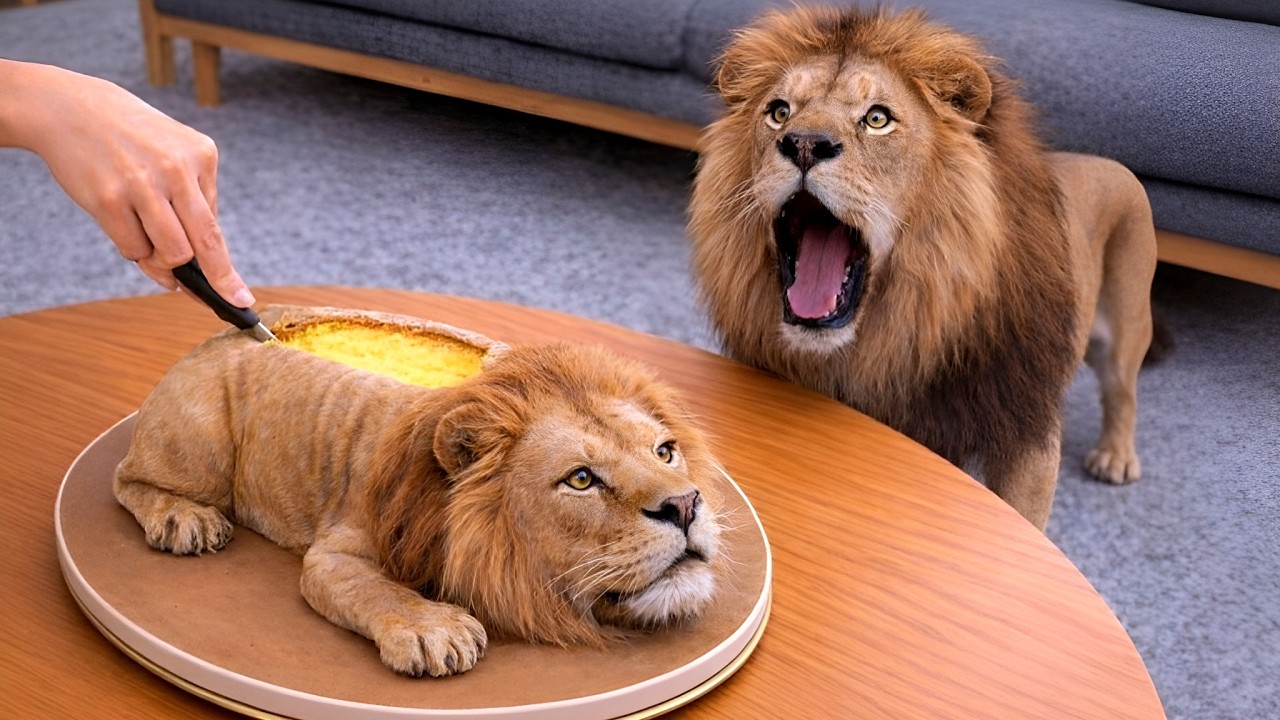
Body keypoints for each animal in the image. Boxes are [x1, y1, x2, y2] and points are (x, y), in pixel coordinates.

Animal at [114, 318, 722, 677]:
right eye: (580, 480)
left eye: (665, 451)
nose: (685, 506)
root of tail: (216, 338)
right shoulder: (337, 552)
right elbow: (377, 591)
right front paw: (435, 631)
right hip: (200, 444)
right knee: (126, 479)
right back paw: (183, 519)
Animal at [688, 6, 1158, 530]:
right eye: (779, 111)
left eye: (877, 119)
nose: (805, 144)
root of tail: (1105, 162)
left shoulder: (1025, 433)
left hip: (1125, 325)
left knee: (1123, 391)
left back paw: (1115, 457)